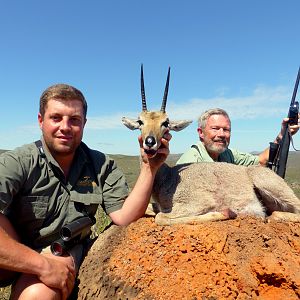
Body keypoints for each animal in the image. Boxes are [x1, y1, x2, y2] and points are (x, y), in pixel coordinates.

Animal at [122, 66, 300, 225]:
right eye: (140, 121)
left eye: (165, 123)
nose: (150, 142)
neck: (168, 177)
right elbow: (151, 211)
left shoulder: (199, 202)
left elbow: (161, 217)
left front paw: (224, 213)